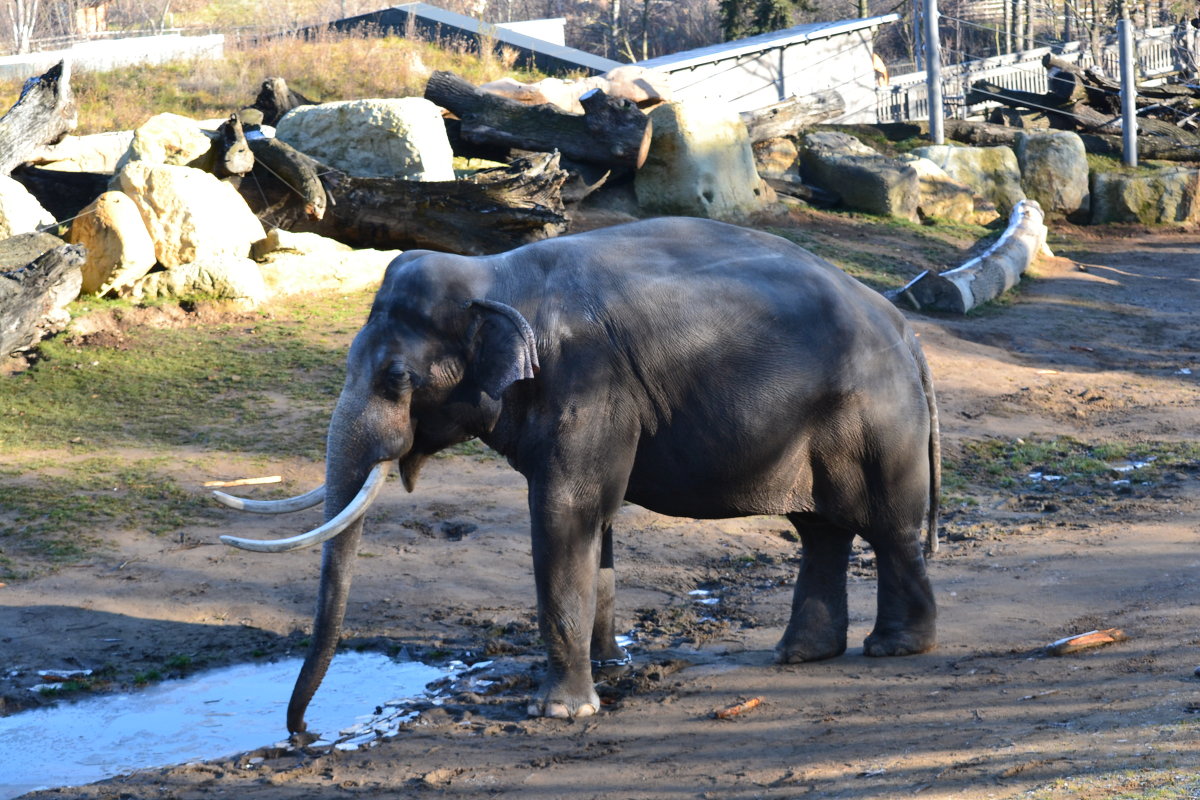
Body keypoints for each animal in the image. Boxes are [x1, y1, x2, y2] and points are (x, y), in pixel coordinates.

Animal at [218, 215, 945, 734]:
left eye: (396, 378)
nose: (301, 732)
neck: (496, 276)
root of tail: (906, 328)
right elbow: (598, 523)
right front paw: (610, 669)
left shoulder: (589, 385)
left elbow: (563, 512)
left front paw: (558, 712)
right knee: (821, 530)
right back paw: (800, 656)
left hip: (879, 422)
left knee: (887, 527)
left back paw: (894, 648)